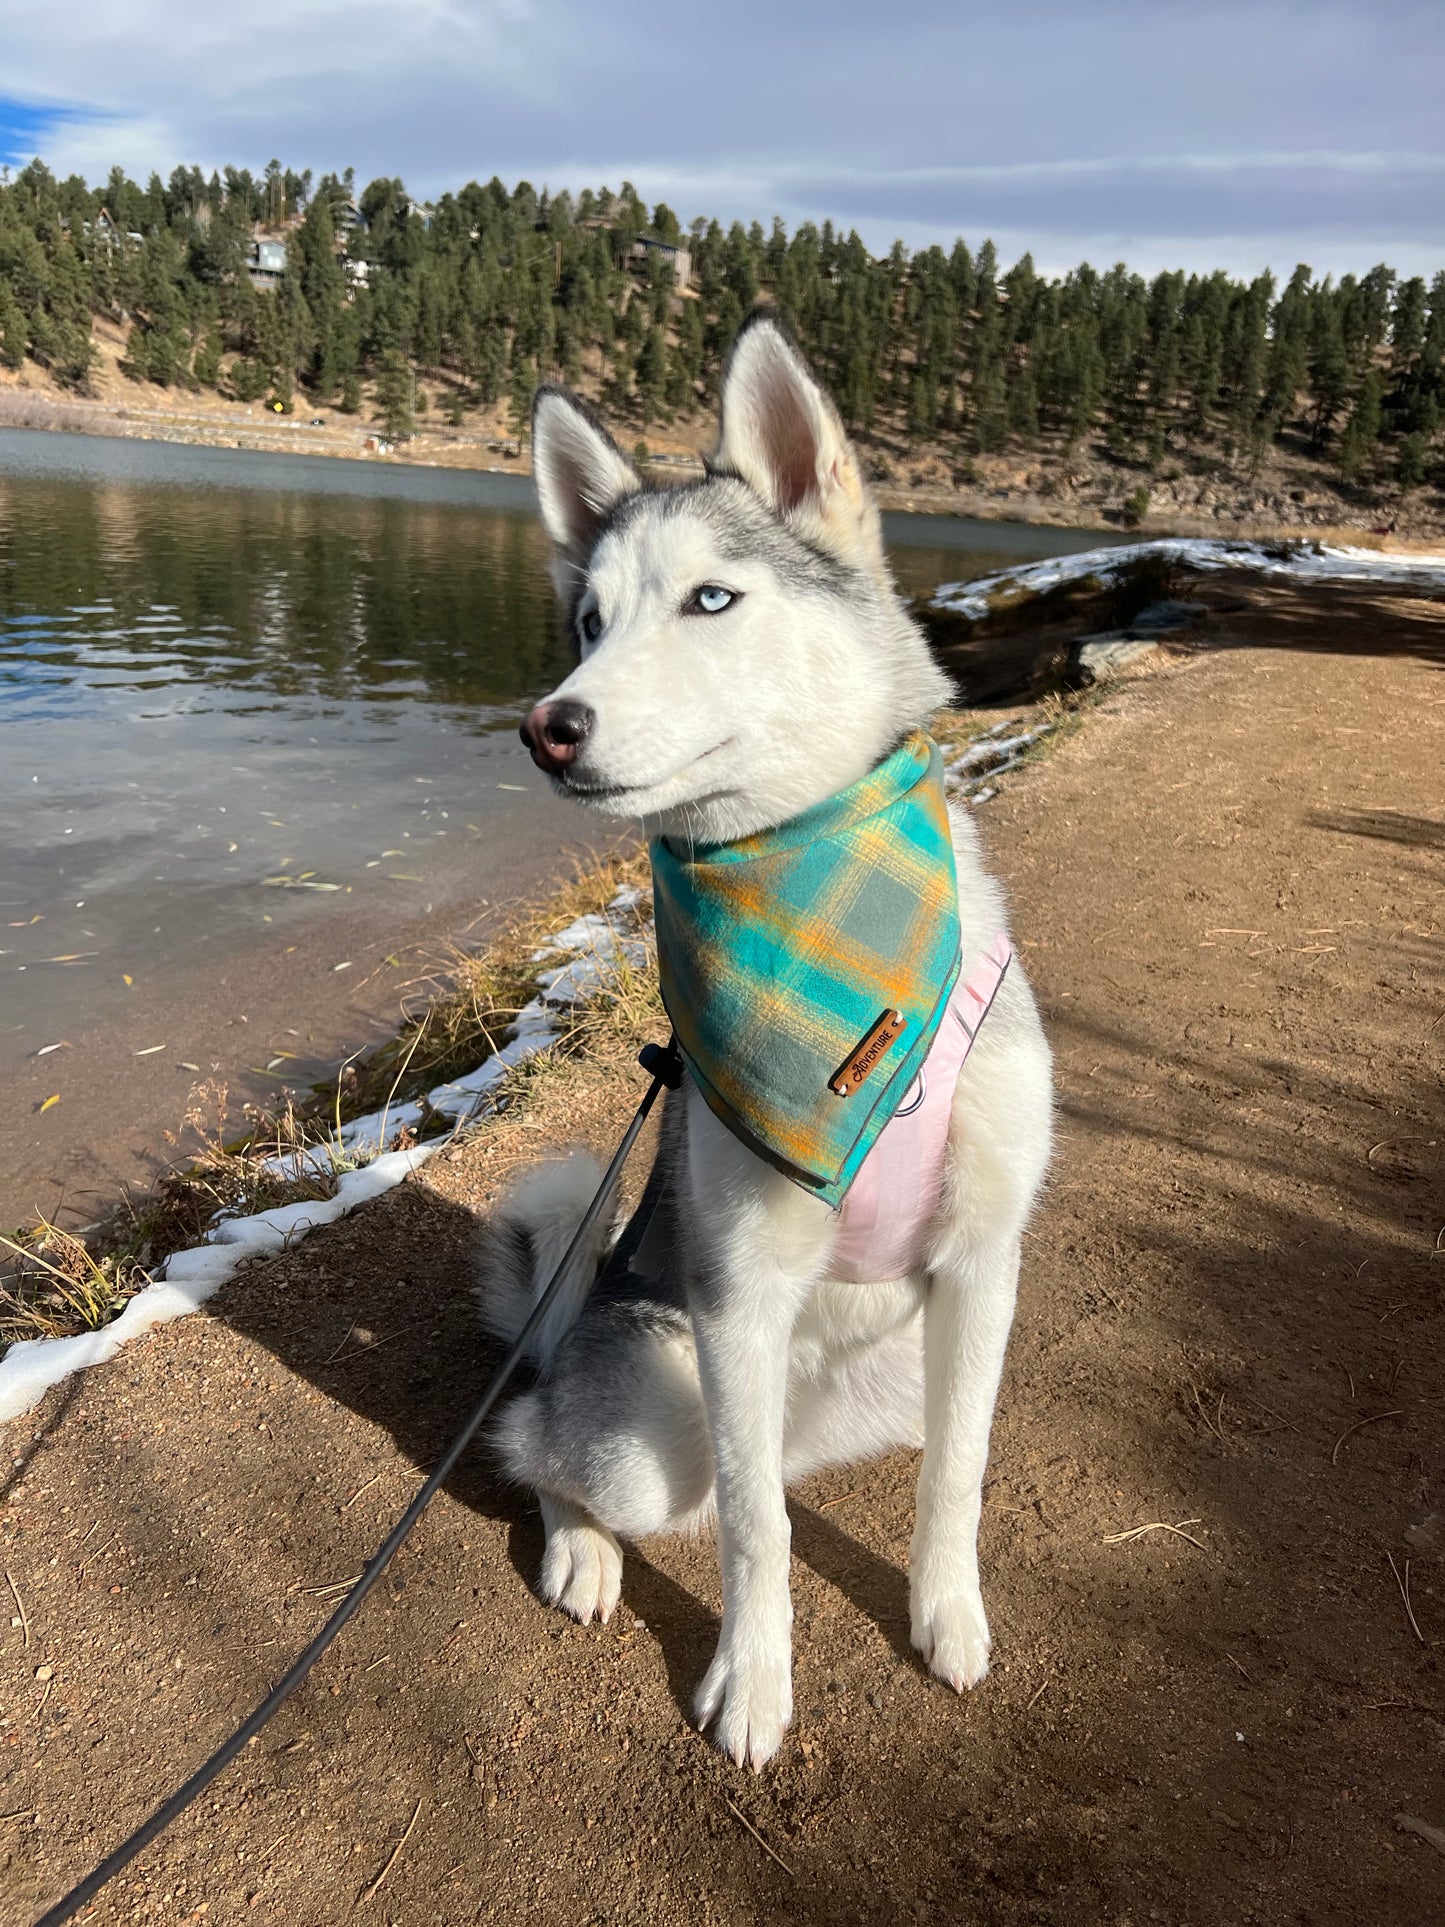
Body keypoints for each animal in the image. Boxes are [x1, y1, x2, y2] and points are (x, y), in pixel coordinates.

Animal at [481, 319, 1055, 1772]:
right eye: (588, 621)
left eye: (710, 599)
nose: (548, 722)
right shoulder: (736, 1300)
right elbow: (755, 1534)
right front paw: (752, 1681)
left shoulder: (982, 1269)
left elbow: (956, 1475)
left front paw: (946, 1617)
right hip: (650, 1418)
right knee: (542, 1441)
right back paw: (579, 1549)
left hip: (891, 1368)